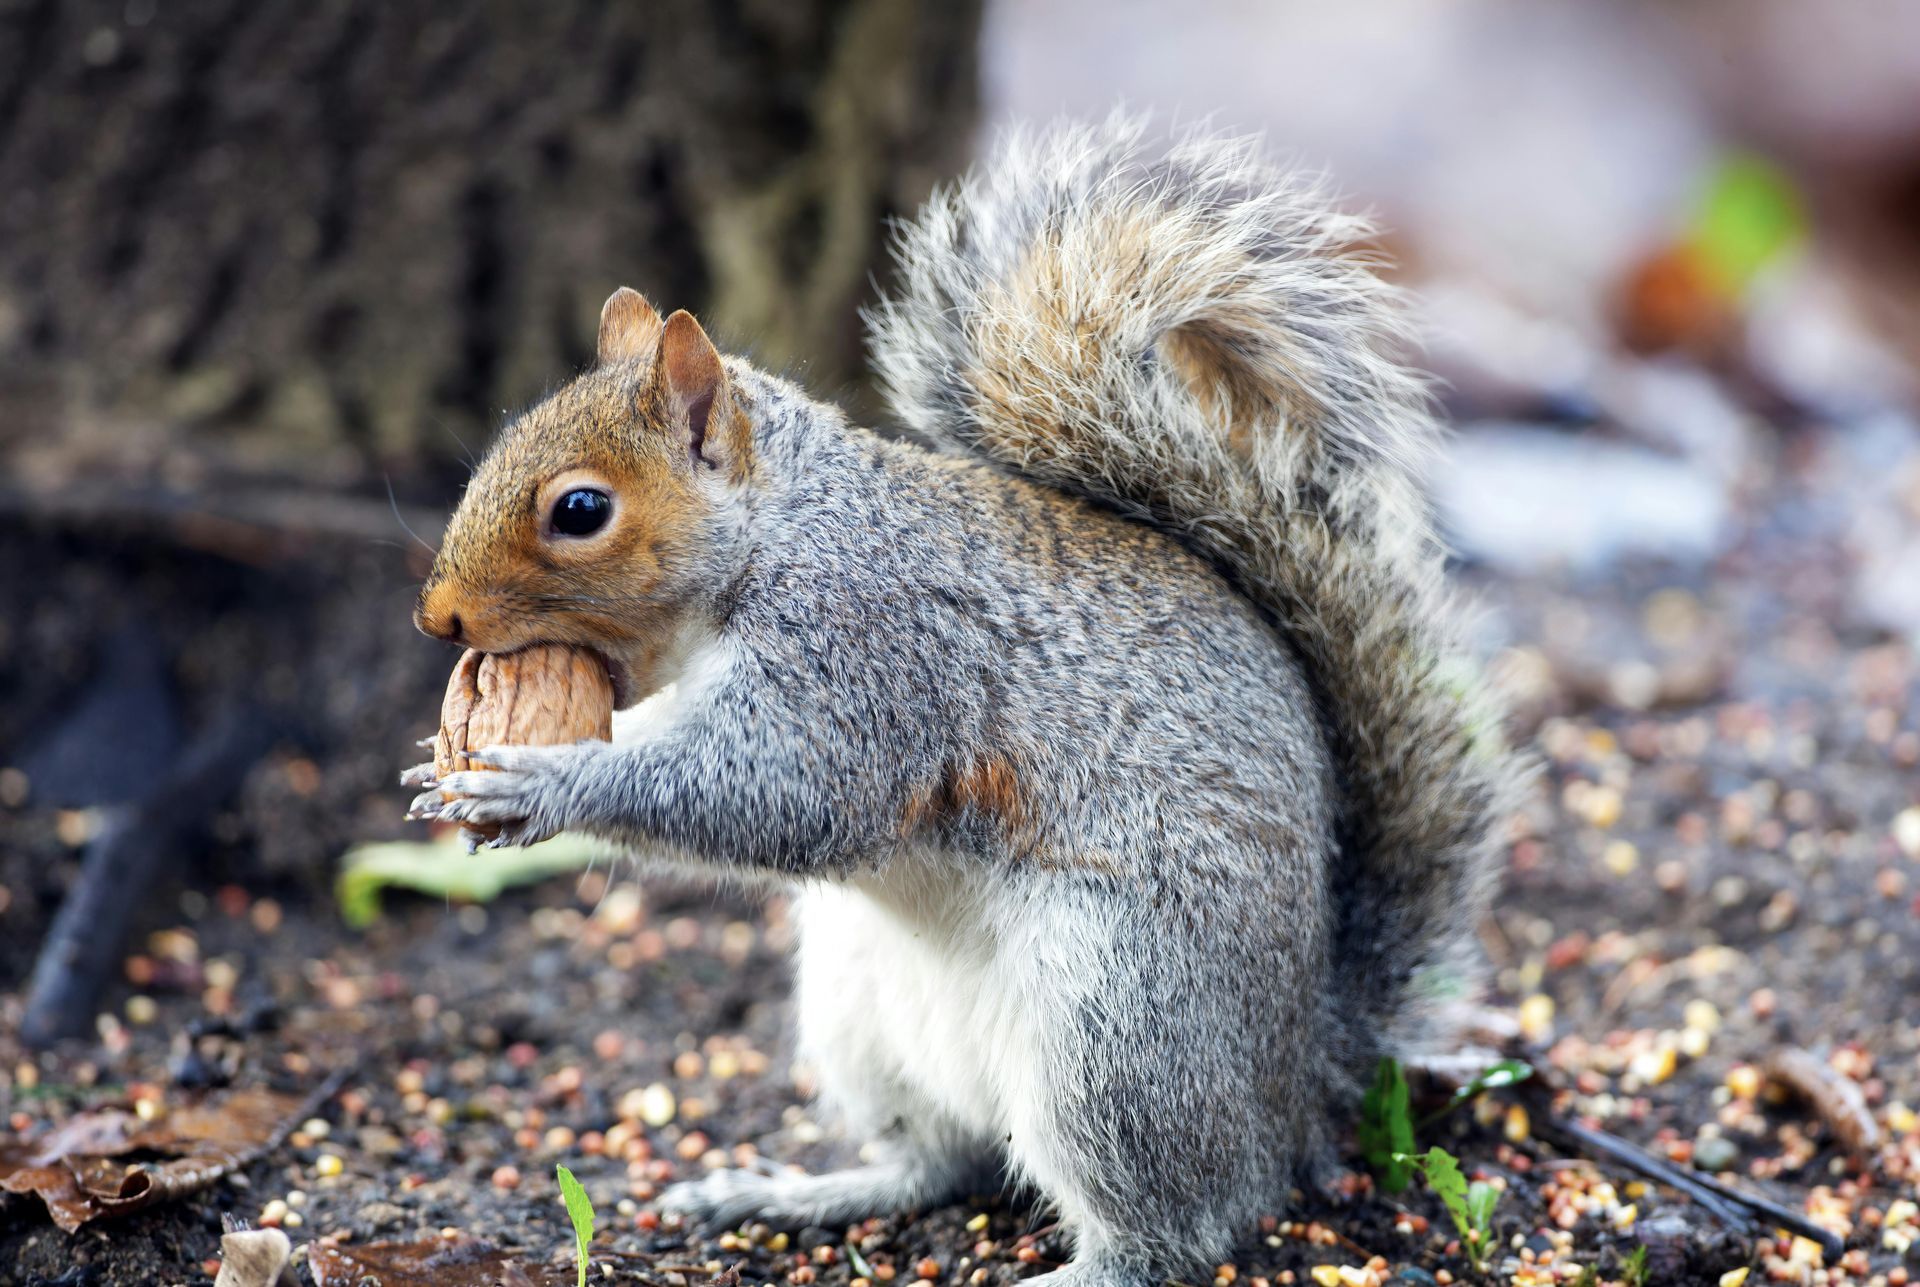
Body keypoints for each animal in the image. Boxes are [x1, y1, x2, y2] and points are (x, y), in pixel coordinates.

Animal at [405, 118, 1522, 1287]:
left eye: (581, 510)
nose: (437, 617)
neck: (781, 532)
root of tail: (1303, 1073)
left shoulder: (867, 648)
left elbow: (787, 797)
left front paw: (542, 785)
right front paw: (440, 768)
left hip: (1115, 1026)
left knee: (1185, 1225)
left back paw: (1082, 1265)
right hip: (860, 1010)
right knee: (937, 1162)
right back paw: (800, 1190)